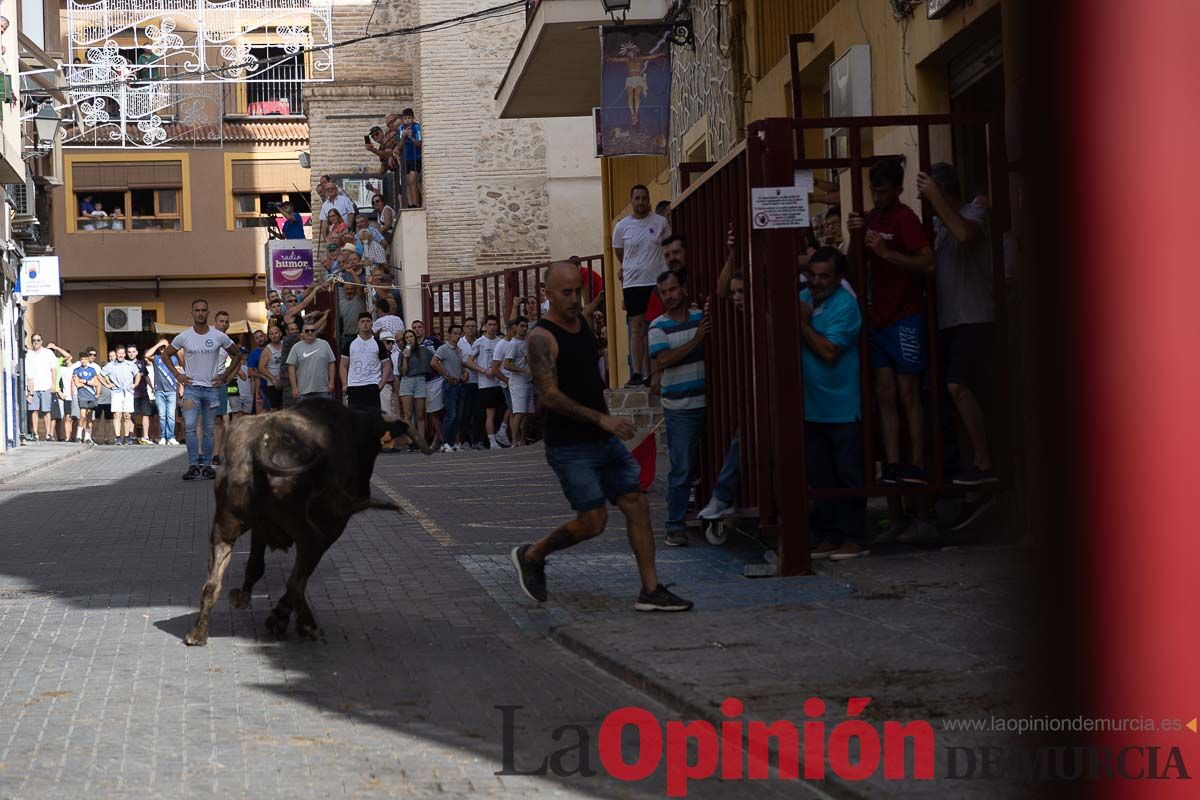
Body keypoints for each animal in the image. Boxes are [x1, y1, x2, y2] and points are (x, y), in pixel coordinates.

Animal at [182, 398, 432, 647]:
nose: (363, 492)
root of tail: (260, 448)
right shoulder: (333, 526)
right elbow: (295, 579)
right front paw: (279, 618)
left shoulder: (261, 529)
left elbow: (255, 566)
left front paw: (245, 599)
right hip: (312, 535)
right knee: (296, 582)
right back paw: (307, 626)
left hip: (223, 528)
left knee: (212, 583)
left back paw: (197, 633)